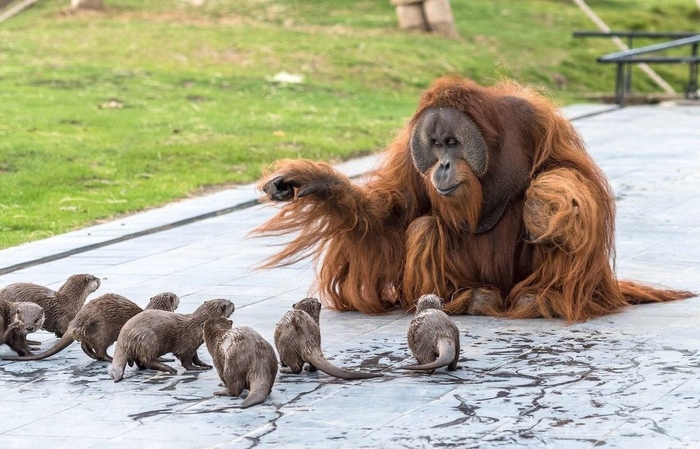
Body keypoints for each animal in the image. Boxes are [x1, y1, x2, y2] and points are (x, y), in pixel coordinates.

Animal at [4, 290, 179, 360]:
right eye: (174, 296)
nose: (177, 296)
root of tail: (77, 320)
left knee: (85, 345)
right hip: (103, 331)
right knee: (99, 349)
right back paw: (108, 358)